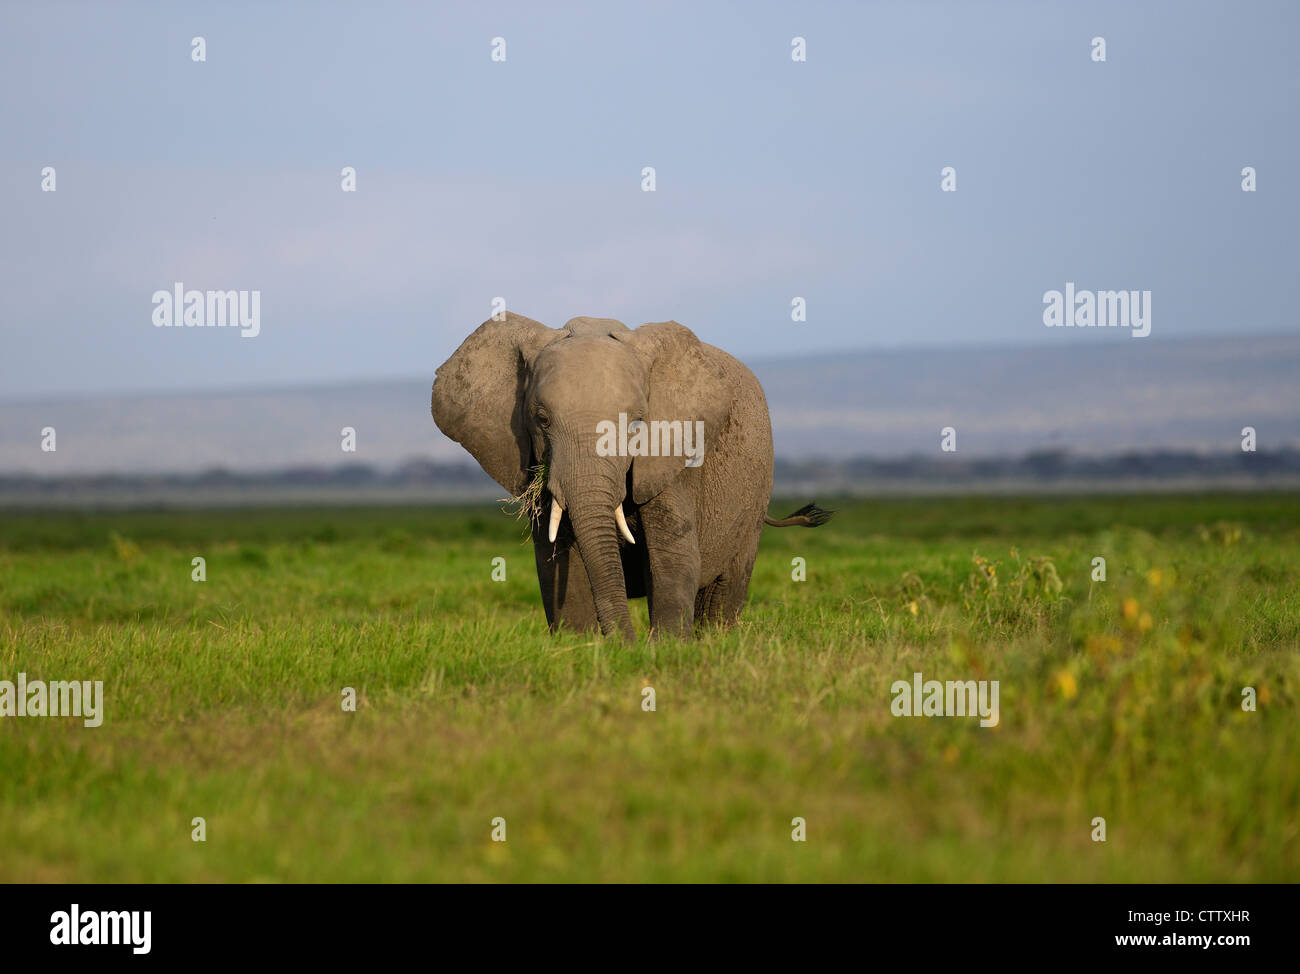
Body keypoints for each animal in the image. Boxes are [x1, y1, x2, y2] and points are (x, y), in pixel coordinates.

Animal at [431, 312, 826, 642]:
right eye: (541, 420)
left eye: (636, 424)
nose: (626, 644)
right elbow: (555, 560)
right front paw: (581, 648)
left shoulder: (671, 457)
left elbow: (674, 557)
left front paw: (664, 648)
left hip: (756, 493)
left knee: (726, 588)